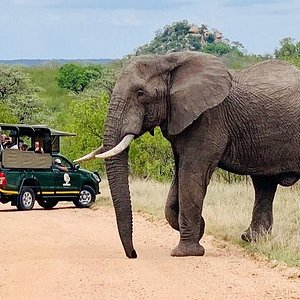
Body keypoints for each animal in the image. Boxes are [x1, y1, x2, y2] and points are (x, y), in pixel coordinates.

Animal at [75, 51, 300, 258]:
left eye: (141, 94)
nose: (134, 254)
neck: (168, 61)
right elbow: (178, 179)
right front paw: (199, 227)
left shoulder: (208, 119)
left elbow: (192, 174)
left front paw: (185, 252)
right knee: (264, 184)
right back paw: (251, 239)